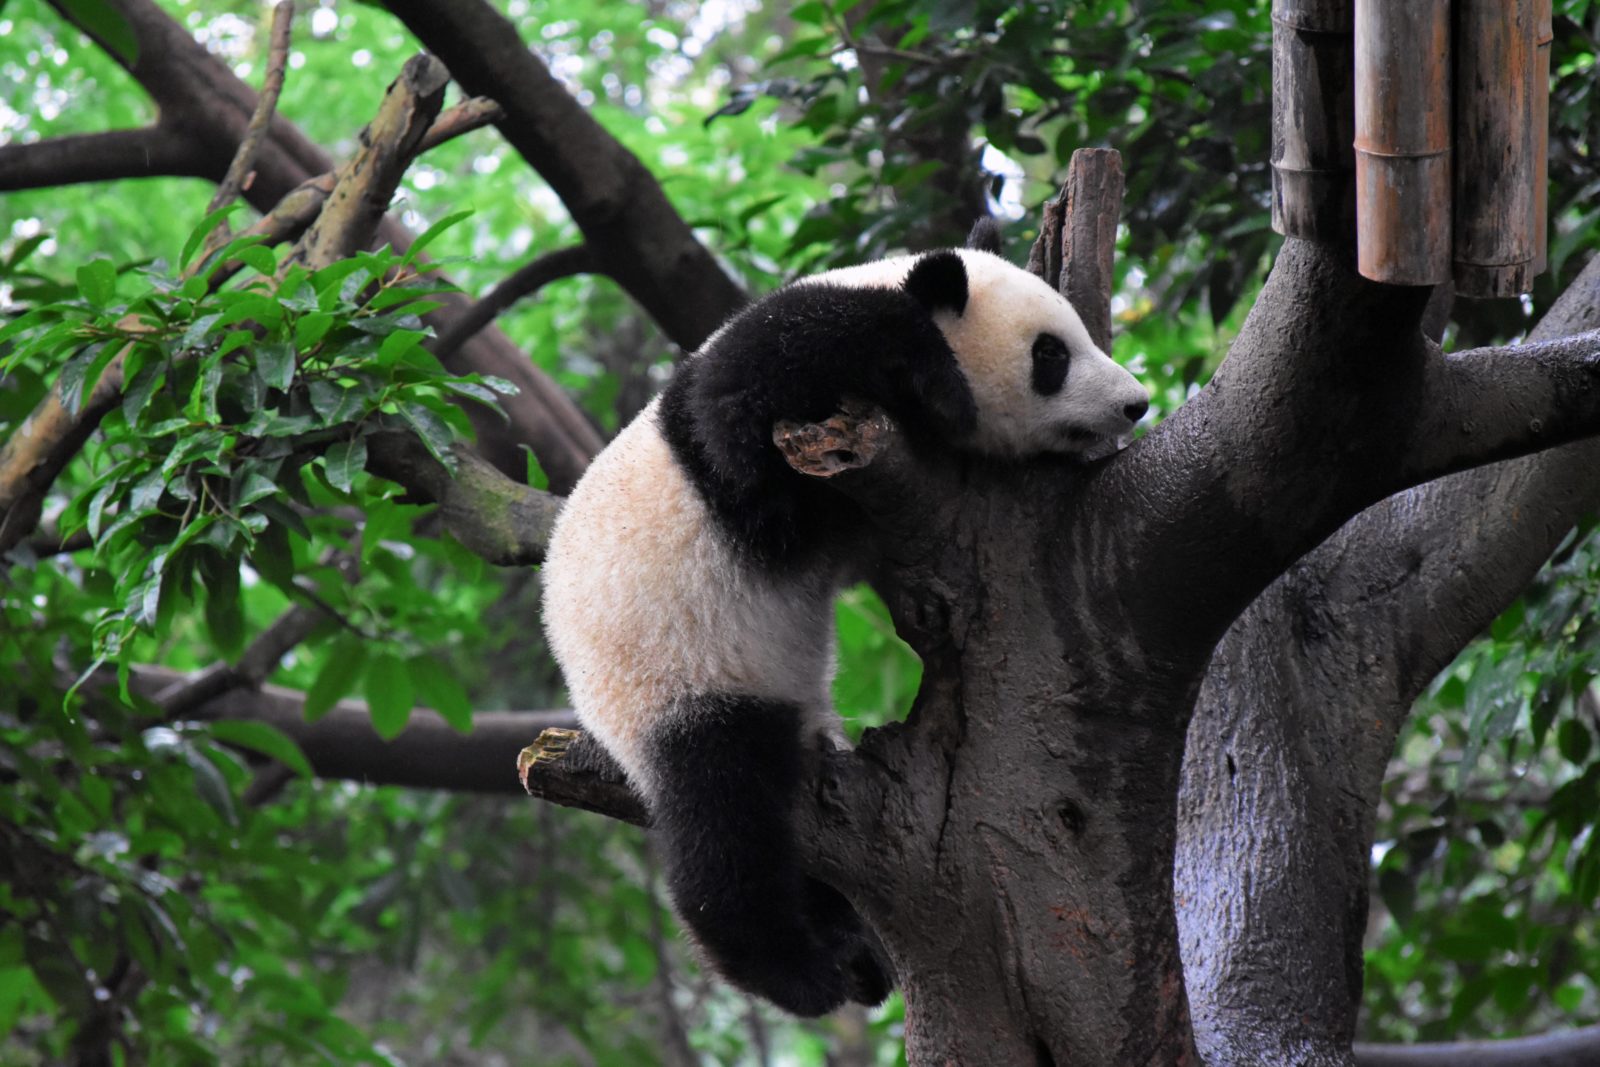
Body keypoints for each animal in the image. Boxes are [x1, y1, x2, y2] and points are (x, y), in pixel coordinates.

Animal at [544, 227, 1145, 1017]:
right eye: (1051, 354)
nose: (1136, 404)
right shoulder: (754, 415)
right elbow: (741, 409)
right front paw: (945, 389)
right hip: (674, 677)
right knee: (725, 817)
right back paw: (796, 970)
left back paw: (856, 952)